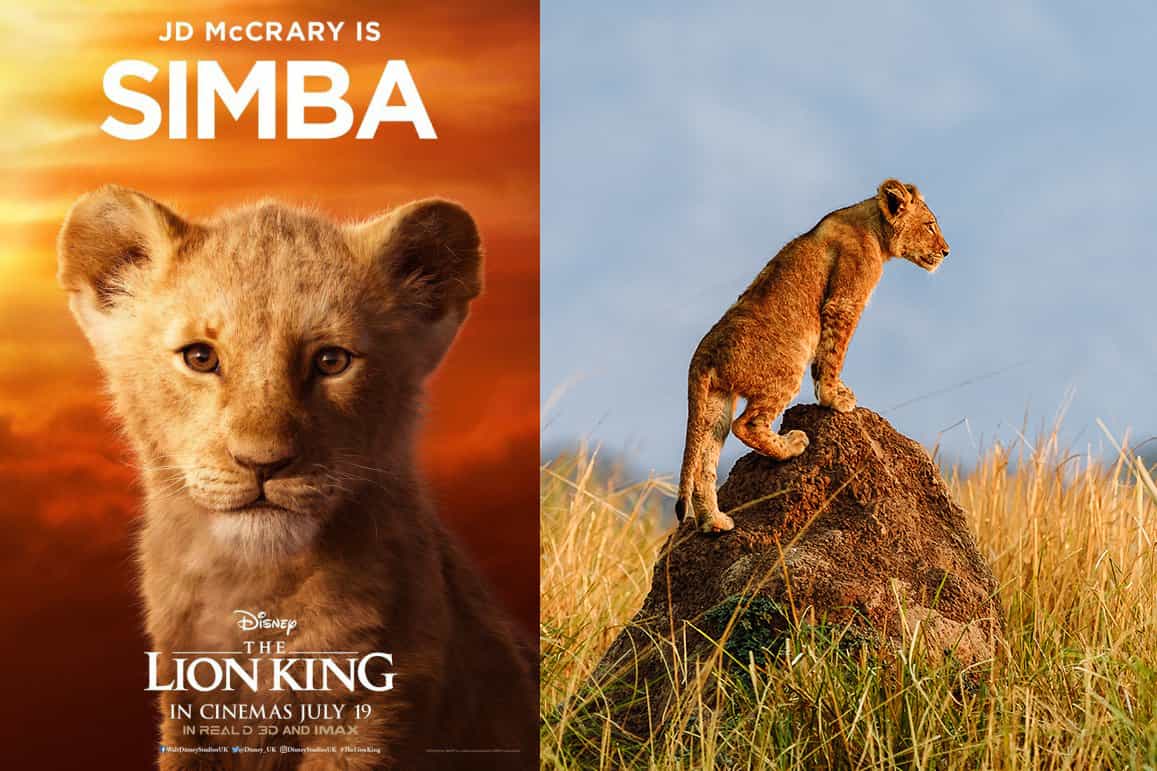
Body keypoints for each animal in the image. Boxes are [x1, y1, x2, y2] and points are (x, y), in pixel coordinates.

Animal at [57, 186, 536, 770]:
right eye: (200, 356)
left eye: (331, 361)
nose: (263, 463)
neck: (255, 585)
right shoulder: (187, 713)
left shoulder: (370, 713)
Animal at [676, 179, 950, 534]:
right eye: (930, 225)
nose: (947, 251)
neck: (872, 224)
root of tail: (703, 354)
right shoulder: (844, 301)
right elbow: (833, 354)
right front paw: (835, 399)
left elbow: (825, 359)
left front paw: (834, 393)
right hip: (787, 368)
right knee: (746, 425)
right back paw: (792, 445)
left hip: (715, 402)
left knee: (704, 462)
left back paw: (714, 523)